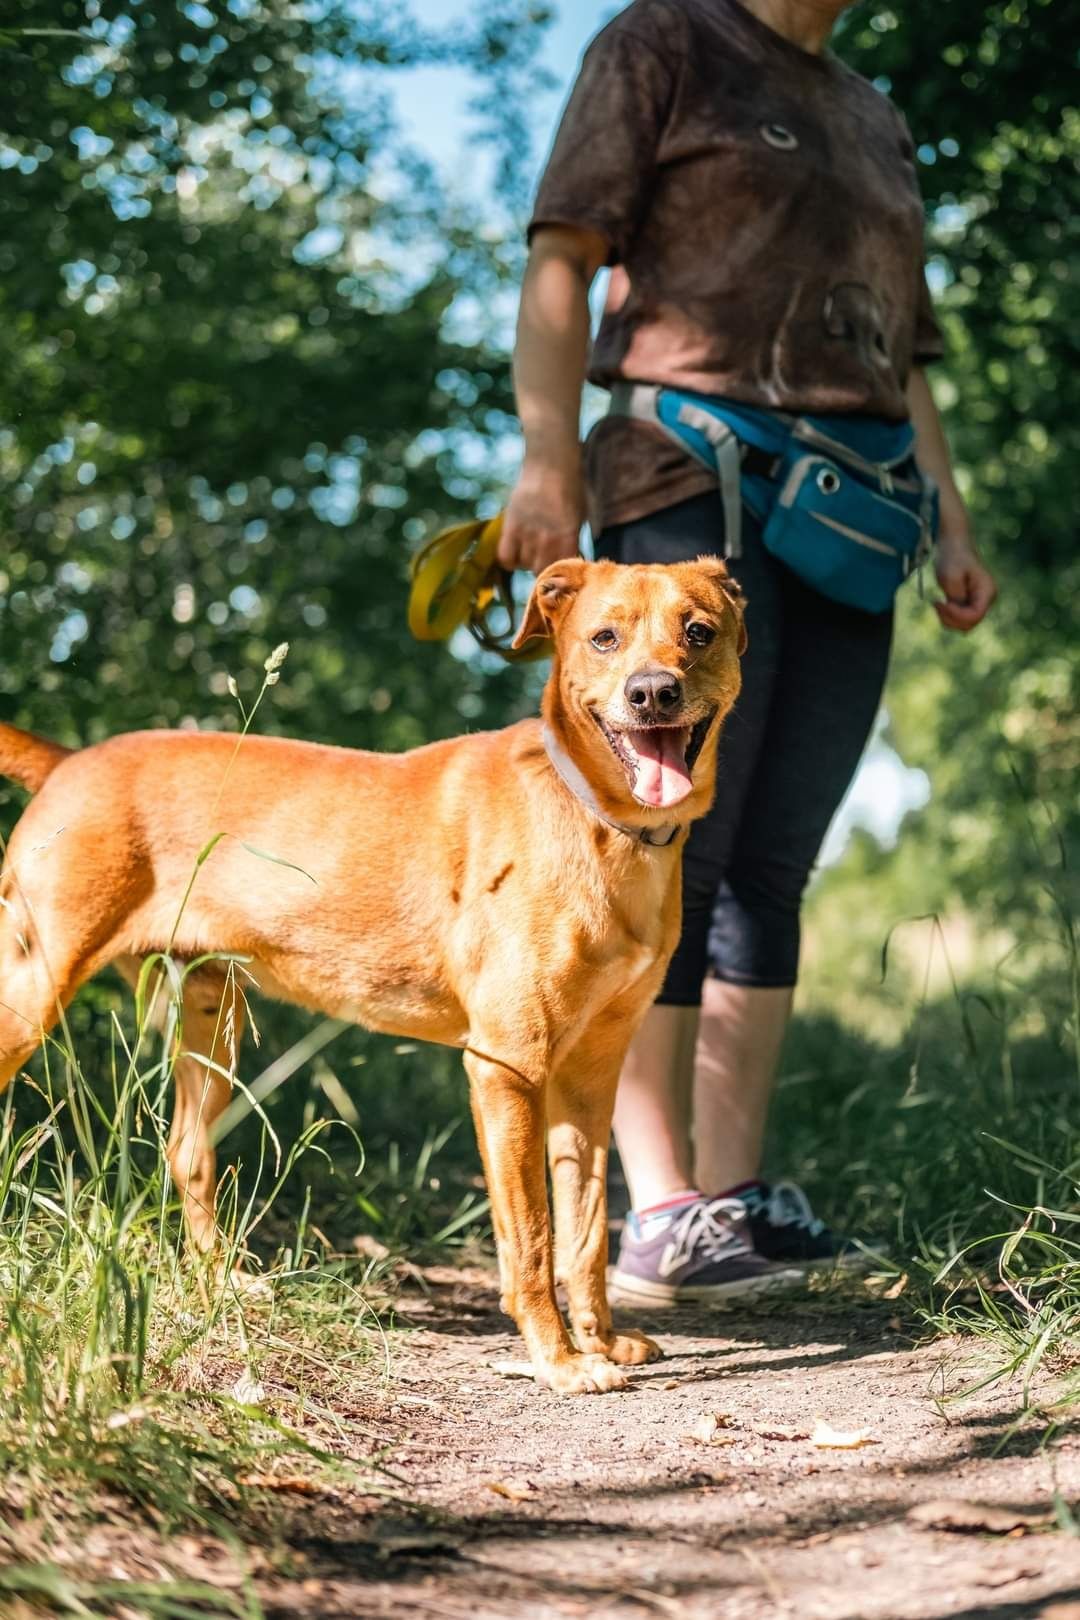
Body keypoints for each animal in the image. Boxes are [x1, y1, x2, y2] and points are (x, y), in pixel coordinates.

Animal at [0, 557, 744, 1393]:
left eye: (698, 632)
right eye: (605, 637)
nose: (652, 692)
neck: (599, 821)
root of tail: (68, 762)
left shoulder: (592, 1075)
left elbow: (584, 1233)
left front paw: (602, 1341)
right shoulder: (507, 1068)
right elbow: (532, 1238)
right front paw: (557, 1361)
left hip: (212, 1023)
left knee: (187, 1155)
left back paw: (225, 1285)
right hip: (32, 988)